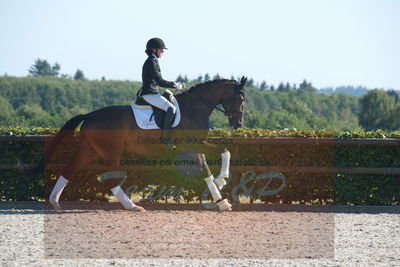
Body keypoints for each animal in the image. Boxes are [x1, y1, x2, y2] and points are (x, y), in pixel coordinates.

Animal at [35, 76, 247, 213]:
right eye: (239, 99)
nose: (238, 124)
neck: (195, 107)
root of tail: (90, 115)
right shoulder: (193, 145)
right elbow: (222, 153)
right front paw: (223, 180)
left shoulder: (195, 147)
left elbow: (208, 168)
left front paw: (222, 200)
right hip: (111, 152)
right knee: (111, 178)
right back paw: (132, 206)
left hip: (90, 151)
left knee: (69, 169)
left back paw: (54, 202)